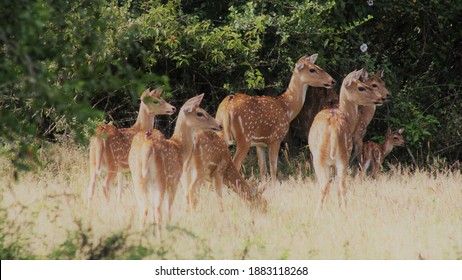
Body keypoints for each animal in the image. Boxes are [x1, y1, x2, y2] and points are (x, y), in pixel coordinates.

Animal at [128, 94, 222, 234]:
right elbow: (169, 210)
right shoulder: (174, 180)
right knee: (158, 210)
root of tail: (147, 147)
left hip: (137, 178)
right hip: (161, 179)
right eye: (200, 113)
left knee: (144, 209)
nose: (219, 125)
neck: (179, 148)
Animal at [217, 53, 336, 183]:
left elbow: (263, 170)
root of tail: (226, 107)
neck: (287, 108)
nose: (332, 81)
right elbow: (273, 168)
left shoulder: (260, 144)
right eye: (312, 69)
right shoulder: (276, 138)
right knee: (234, 165)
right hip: (244, 137)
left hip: (220, 132)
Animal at [306, 69, 382, 210]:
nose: (380, 97)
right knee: (339, 185)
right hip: (340, 157)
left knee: (327, 185)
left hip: (325, 157)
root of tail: (333, 128)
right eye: (361, 87)